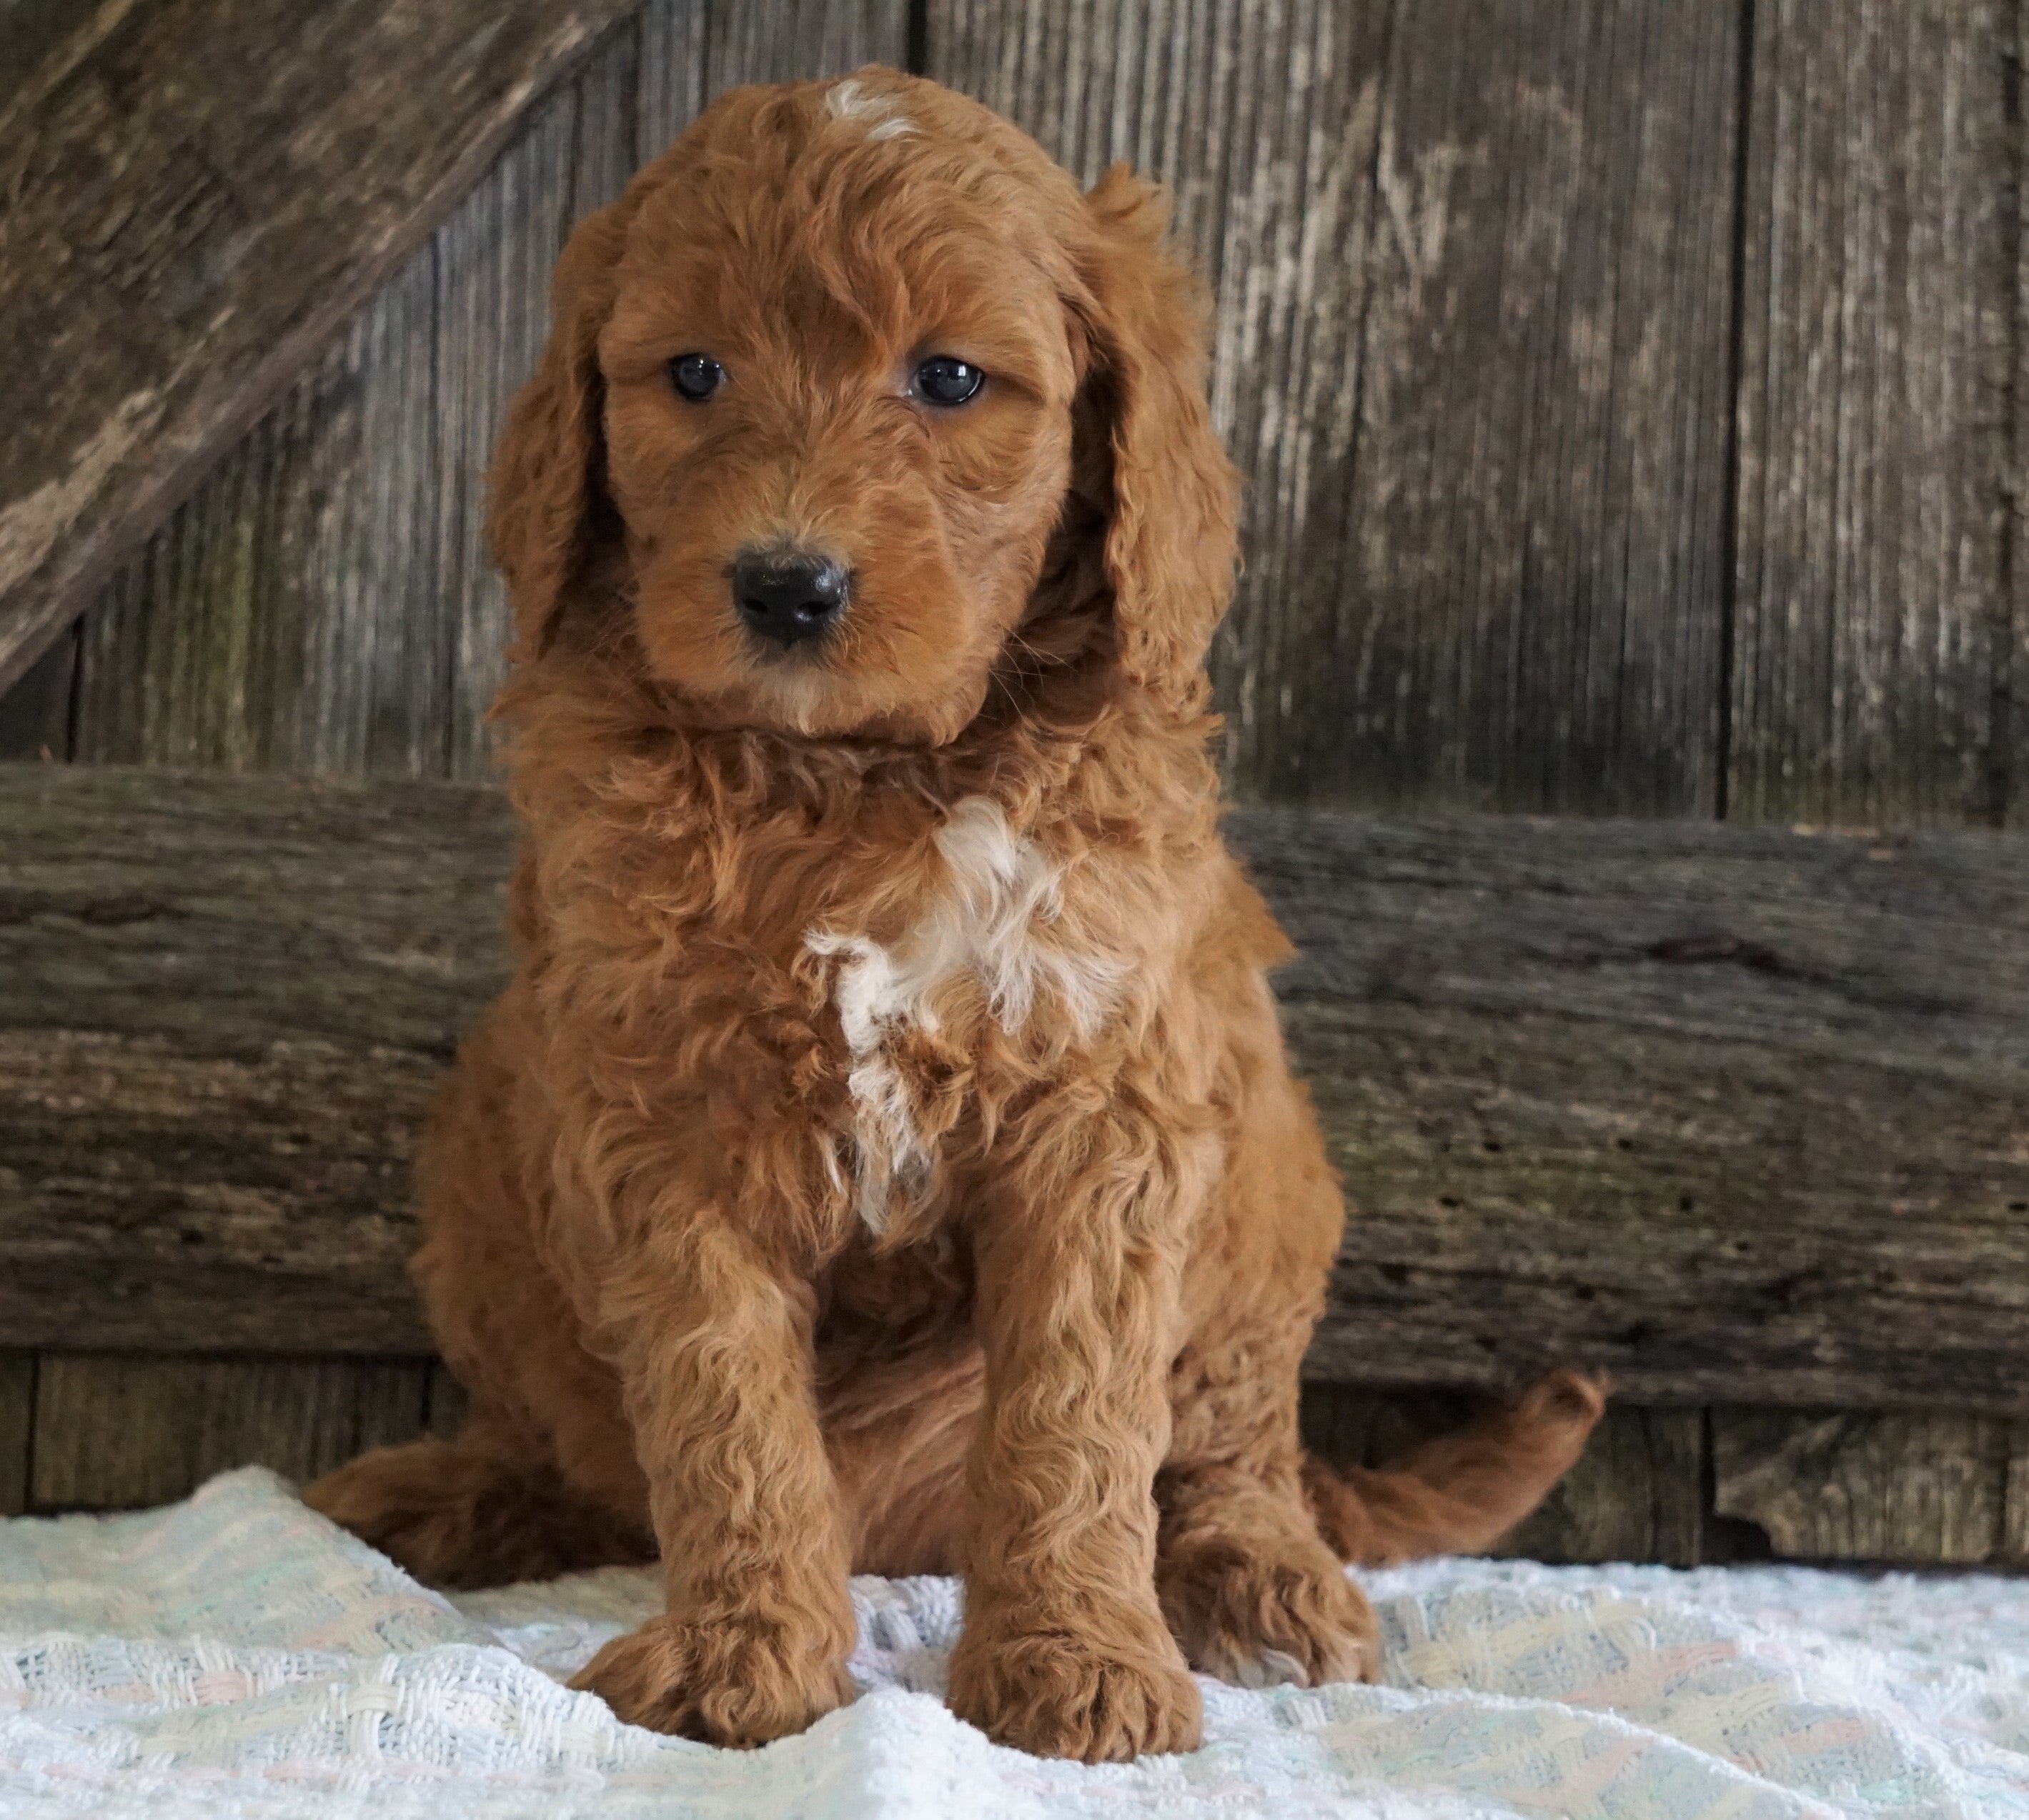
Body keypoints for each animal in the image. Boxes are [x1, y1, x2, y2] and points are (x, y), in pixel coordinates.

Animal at [304, 71, 1599, 1761]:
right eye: (694, 373)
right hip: (480, 1145)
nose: (787, 586)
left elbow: (1075, 1420)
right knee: (584, 1451)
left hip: (1266, 1161)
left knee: (1232, 1436)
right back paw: (452, 1493)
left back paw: (1259, 1580)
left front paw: (1077, 1664)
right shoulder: (660, 1108)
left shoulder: (1105, 1102)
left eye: (950, 379)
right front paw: (741, 1657)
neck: (861, 779)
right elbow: (720, 1406)